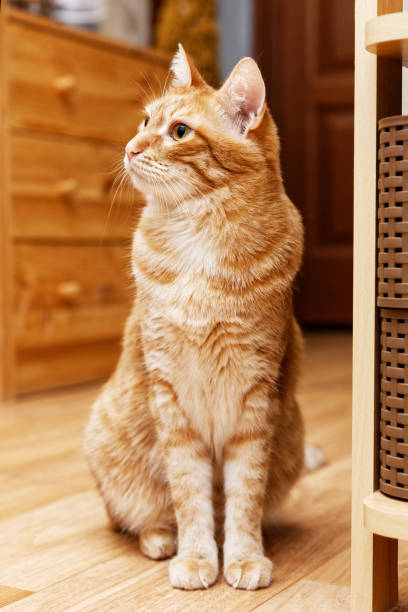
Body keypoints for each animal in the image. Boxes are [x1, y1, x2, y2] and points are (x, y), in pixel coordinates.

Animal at [83, 45, 306, 592]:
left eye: (179, 131)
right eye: (145, 121)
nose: (129, 148)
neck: (199, 242)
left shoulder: (256, 396)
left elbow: (244, 496)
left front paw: (243, 556)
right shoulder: (170, 396)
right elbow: (189, 495)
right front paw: (197, 555)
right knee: (131, 516)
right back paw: (160, 539)